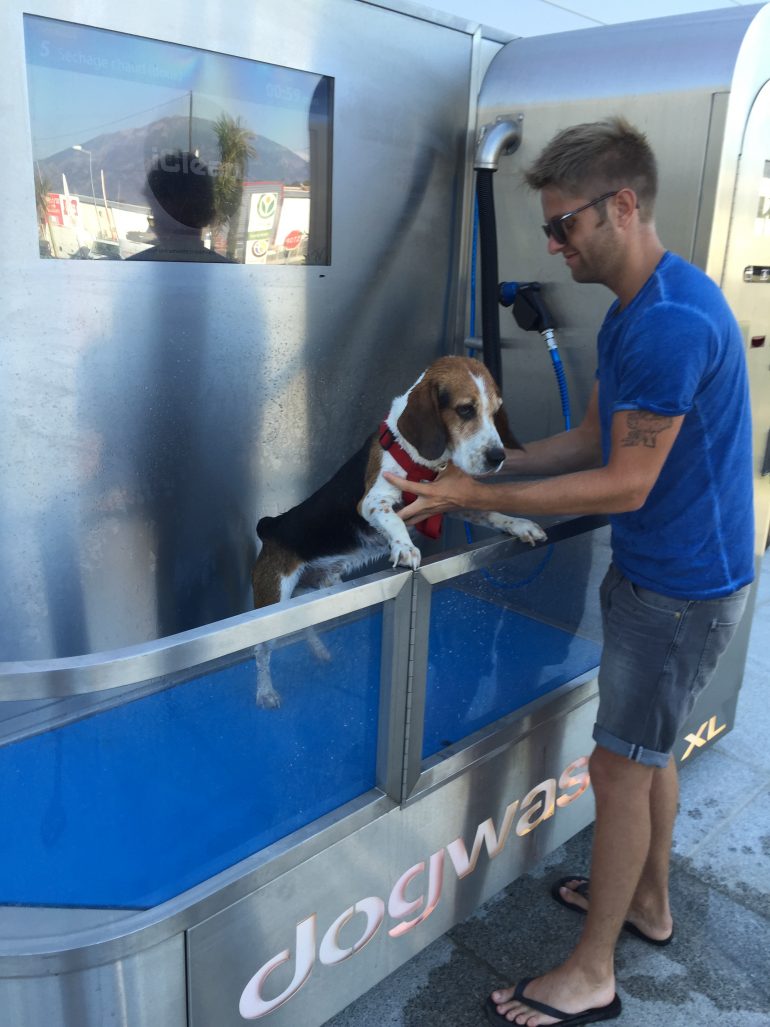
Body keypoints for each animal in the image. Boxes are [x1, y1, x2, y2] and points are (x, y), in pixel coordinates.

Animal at [250, 355, 546, 706]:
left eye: (496, 411)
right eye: (465, 410)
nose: (498, 457)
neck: (422, 459)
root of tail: (271, 525)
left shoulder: (449, 500)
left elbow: (491, 512)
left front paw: (520, 524)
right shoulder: (372, 501)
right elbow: (392, 519)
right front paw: (404, 548)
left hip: (320, 592)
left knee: (307, 627)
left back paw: (320, 651)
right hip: (275, 599)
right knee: (261, 652)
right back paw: (266, 692)